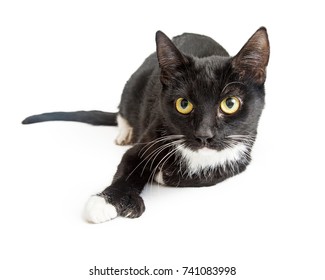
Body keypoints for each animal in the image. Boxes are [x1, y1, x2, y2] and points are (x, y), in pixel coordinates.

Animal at [22, 26, 270, 223]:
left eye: (230, 103)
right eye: (184, 104)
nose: (204, 135)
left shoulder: (241, 157)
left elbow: (207, 173)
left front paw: (161, 174)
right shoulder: (149, 137)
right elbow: (128, 166)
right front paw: (106, 201)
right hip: (134, 82)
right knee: (123, 109)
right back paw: (125, 132)